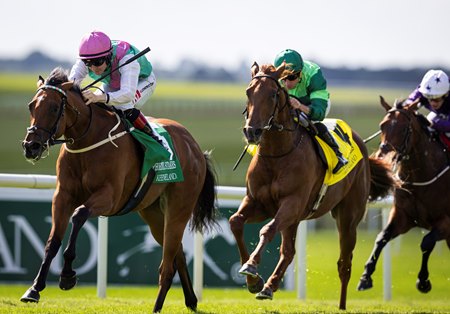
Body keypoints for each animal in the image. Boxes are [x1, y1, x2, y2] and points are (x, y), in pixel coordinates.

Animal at [20, 67, 217, 312]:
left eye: (55, 108)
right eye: (31, 105)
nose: (31, 146)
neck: (88, 140)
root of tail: (195, 147)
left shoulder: (110, 197)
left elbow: (79, 215)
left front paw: (67, 276)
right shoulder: (62, 195)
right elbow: (52, 241)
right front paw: (34, 289)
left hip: (180, 207)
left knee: (168, 263)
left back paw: (157, 306)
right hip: (152, 212)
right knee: (177, 252)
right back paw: (191, 300)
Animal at [230, 62, 396, 310]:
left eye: (272, 94)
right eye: (248, 91)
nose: (252, 131)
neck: (277, 155)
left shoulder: (292, 204)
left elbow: (267, 230)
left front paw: (251, 266)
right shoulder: (258, 202)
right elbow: (236, 222)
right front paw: (254, 281)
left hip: (348, 217)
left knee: (344, 263)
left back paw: (342, 305)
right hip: (295, 219)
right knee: (289, 252)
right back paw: (269, 287)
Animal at [358, 97, 450, 294]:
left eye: (404, 129)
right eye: (382, 125)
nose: (383, 154)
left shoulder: (446, 222)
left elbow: (426, 242)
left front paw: (423, 281)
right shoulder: (403, 216)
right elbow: (382, 237)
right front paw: (365, 277)